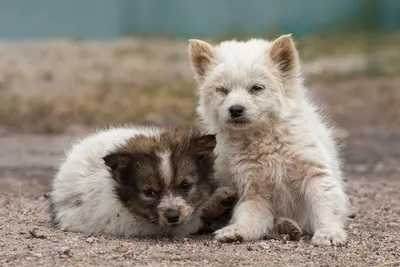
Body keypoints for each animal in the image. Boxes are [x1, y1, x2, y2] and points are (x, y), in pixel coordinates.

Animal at [189, 34, 348, 247]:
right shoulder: (254, 188)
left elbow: (325, 204)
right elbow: (248, 216)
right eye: (222, 90)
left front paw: (329, 232)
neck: (263, 138)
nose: (235, 109)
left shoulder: (315, 172)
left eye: (257, 88)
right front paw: (237, 231)